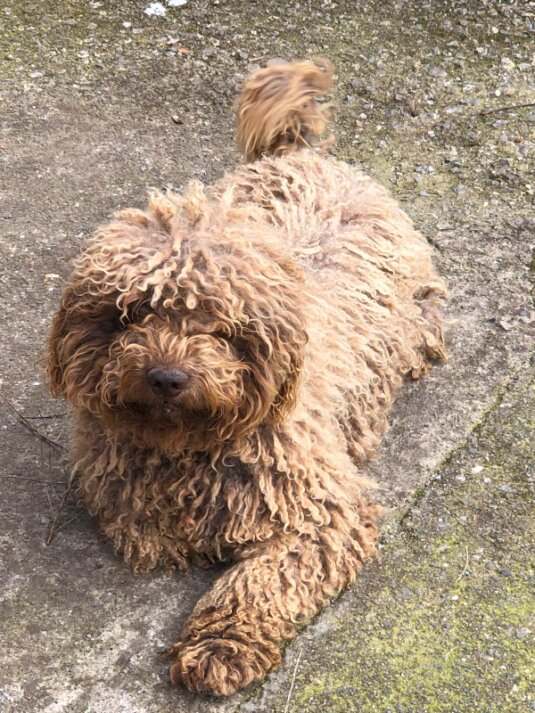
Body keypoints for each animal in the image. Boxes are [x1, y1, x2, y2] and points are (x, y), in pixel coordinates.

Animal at [47, 59, 446, 696]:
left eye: (218, 326)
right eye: (132, 314)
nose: (166, 377)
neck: (189, 451)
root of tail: (305, 155)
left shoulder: (322, 516)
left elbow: (262, 581)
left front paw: (219, 646)